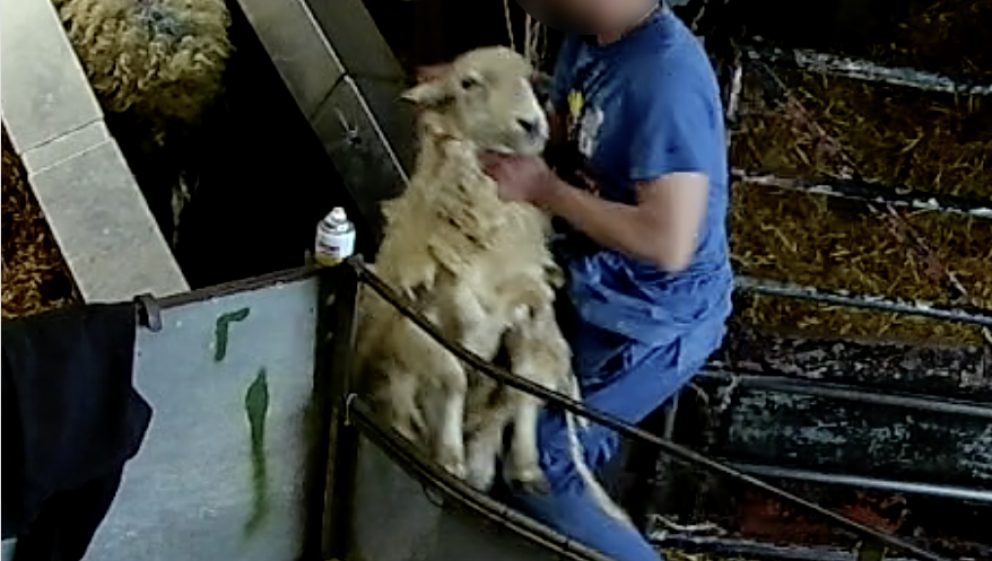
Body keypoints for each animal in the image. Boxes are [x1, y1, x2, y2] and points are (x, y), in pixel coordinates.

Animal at [356, 47, 632, 524]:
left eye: (533, 82)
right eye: (468, 83)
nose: (532, 124)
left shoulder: (526, 311)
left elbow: (523, 386)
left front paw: (526, 466)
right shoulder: (421, 316)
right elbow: (453, 378)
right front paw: (449, 458)